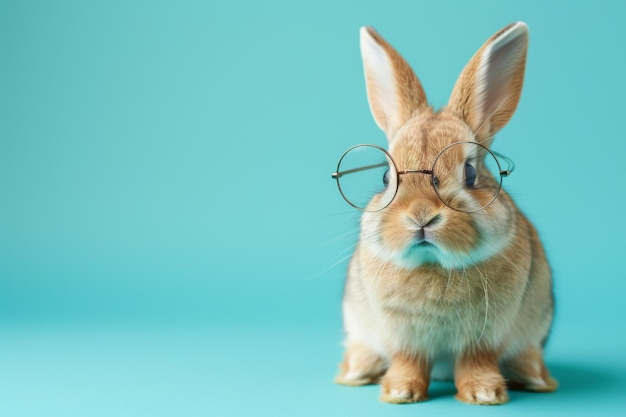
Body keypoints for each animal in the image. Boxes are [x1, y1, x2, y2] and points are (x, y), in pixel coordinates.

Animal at [334, 22, 552, 404]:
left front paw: (484, 394)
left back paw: (533, 377)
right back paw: (357, 371)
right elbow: (408, 360)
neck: (434, 264)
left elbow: (476, 362)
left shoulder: (484, 337)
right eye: (386, 176)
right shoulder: (404, 336)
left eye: (470, 173)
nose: (421, 216)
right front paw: (400, 392)